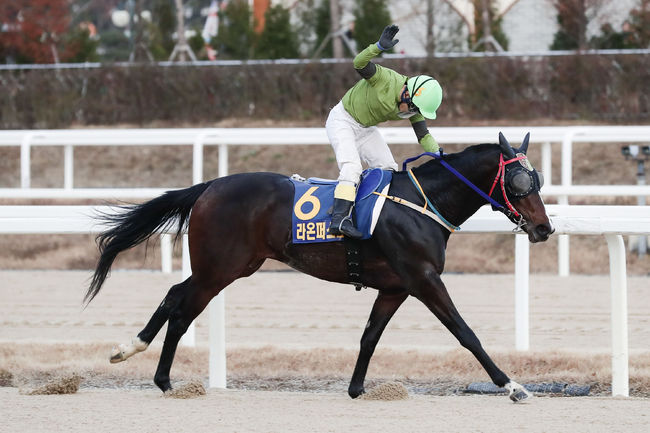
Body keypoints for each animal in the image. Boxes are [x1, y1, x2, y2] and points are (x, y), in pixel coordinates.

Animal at [85, 131, 552, 402]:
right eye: (520, 183)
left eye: (539, 180)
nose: (545, 228)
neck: (422, 203)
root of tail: (210, 186)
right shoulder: (423, 278)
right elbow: (465, 332)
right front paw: (512, 385)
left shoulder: (396, 287)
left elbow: (369, 337)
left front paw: (357, 388)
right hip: (219, 268)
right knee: (181, 305)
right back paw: (151, 368)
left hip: (230, 266)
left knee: (176, 299)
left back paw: (144, 361)